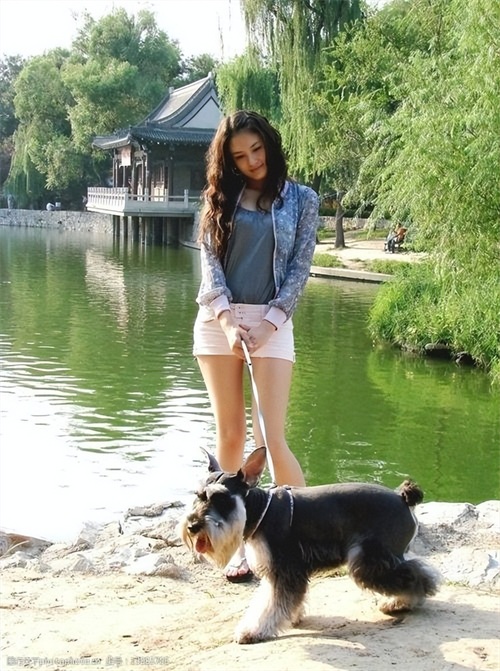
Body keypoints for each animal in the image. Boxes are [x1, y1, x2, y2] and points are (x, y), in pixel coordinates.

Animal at [178, 446, 440, 644]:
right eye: (198, 495)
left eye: (221, 498)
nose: (192, 526)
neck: (260, 510)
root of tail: (402, 498)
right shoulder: (278, 571)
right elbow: (269, 600)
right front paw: (292, 617)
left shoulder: (285, 569)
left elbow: (271, 605)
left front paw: (253, 631)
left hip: (369, 559)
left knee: (416, 576)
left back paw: (402, 602)